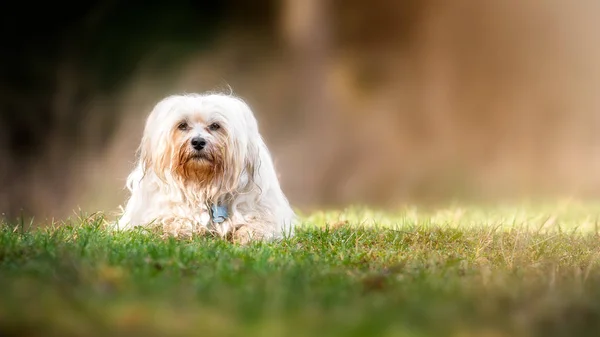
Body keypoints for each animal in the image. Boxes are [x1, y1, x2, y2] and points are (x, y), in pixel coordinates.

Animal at [114, 91, 296, 242]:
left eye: (215, 126)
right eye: (182, 125)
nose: (198, 142)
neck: (203, 184)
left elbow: (256, 225)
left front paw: (247, 237)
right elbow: (171, 220)